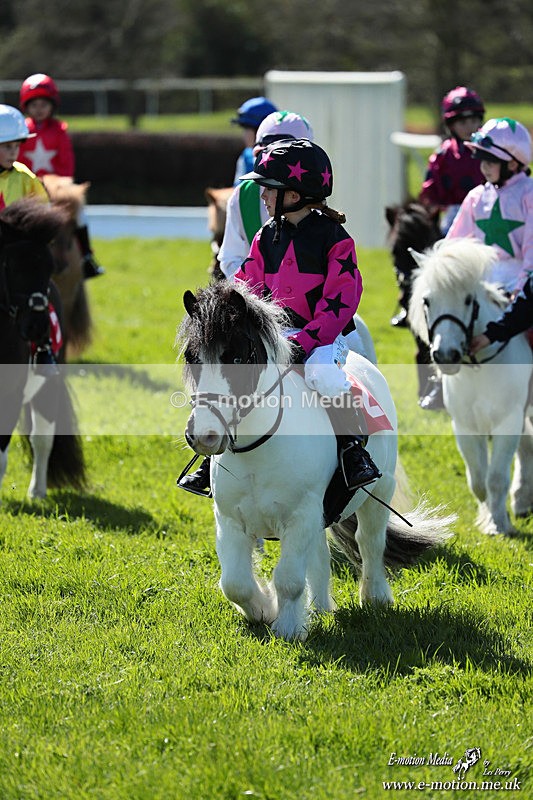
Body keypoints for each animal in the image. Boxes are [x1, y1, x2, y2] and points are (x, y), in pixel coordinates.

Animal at [0, 199, 86, 499]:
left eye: (49, 268)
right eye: (13, 267)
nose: (38, 327)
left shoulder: (10, 396)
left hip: (47, 388)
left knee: (42, 439)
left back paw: (37, 491)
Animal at [178, 281, 453, 641]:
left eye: (237, 358)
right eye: (192, 357)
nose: (205, 435)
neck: (259, 452)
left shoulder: (300, 515)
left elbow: (289, 579)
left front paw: (289, 628)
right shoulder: (230, 519)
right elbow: (234, 583)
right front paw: (264, 609)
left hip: (379, 491)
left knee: (369, 542)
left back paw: (375, 597)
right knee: (321, 556)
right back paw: (321, 607)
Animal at [409, 237, 533, 535]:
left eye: (467, 300)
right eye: (427, 301)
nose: (446, 356)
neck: (479, 368)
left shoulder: (507, 423)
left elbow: (496, 477)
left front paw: (499, 525)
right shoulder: (465, 426)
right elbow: (477, 481)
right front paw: (487, 516)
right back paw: (522, 502)